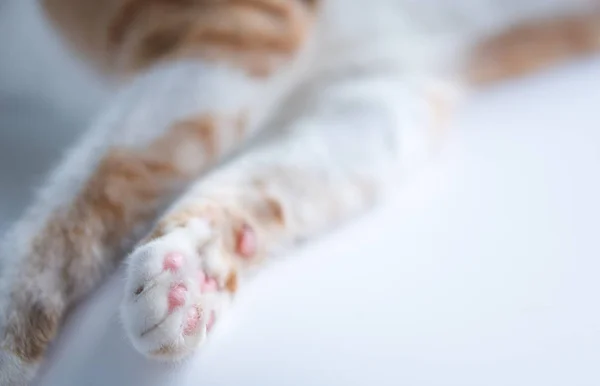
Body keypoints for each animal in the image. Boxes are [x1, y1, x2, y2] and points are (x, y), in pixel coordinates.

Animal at [0, 0, 596, 384]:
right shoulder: (382, 91)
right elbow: (280, 179)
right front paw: (198, 272)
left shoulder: (245, 28)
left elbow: (100, 171)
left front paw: (8, 334)